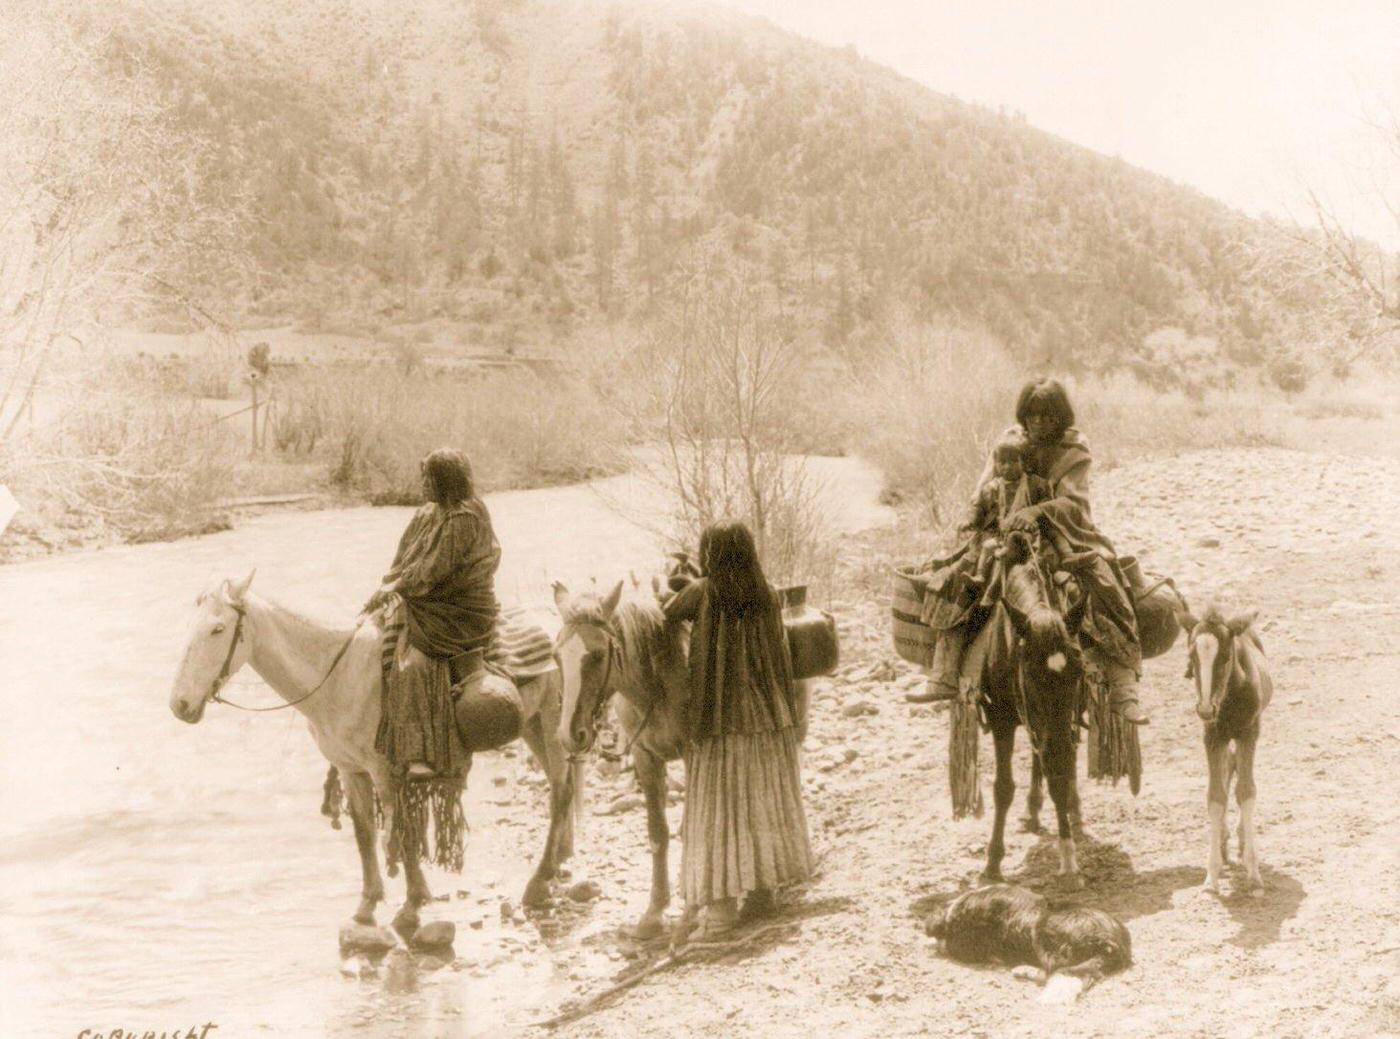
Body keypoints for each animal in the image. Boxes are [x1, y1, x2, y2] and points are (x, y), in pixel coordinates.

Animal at [169, 574, 579, 929]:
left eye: (218, 629)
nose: (180, 705)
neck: (338, 676)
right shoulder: (350, 770)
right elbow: (365, 834)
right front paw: (367, 906)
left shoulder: (386, 772)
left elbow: (401, 832)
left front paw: (413, 903)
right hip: (531, 726)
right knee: (562, 786)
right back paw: (559, 859)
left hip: (551, 723)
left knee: (560, 790)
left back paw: (539, 879)